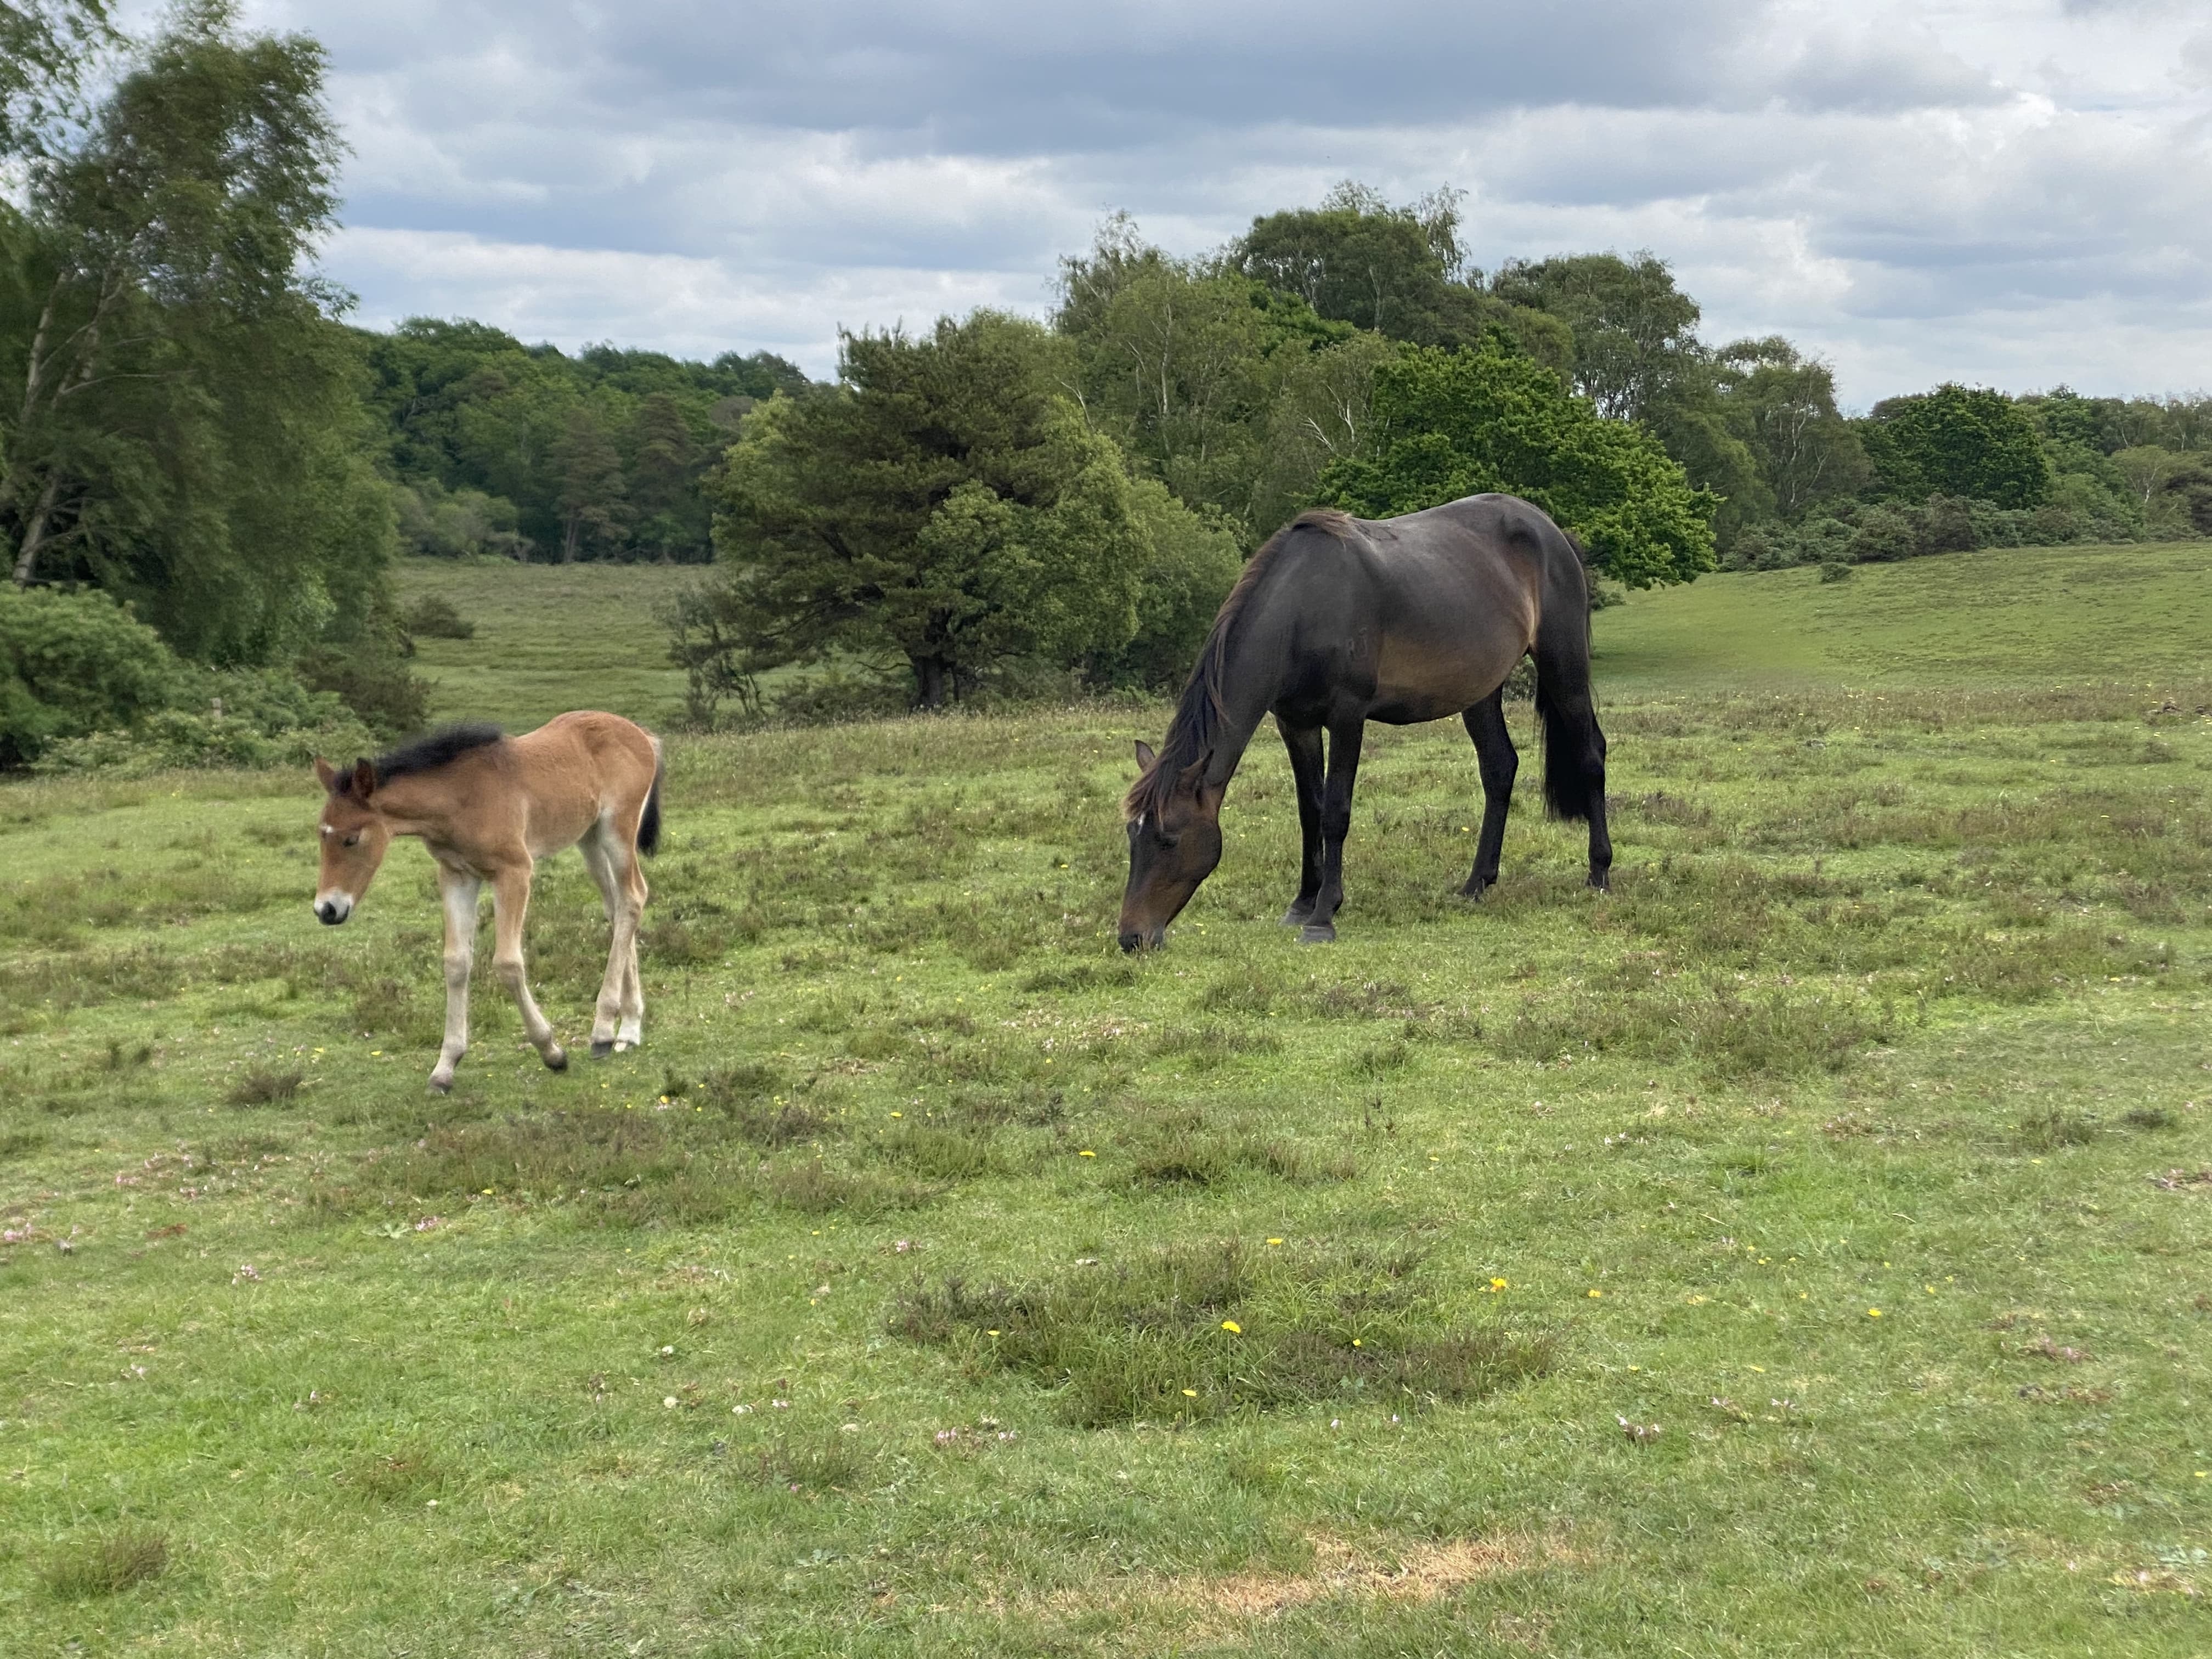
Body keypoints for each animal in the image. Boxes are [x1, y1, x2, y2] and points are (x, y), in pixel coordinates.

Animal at [311, 711, 663, 1093]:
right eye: (321, 834)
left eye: (351, 839)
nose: (326, 910)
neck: (459, 798)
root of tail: (642, 735)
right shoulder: (456, 876)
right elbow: (455, 963)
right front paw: (445, 1067)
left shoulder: (514, 872)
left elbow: (507, 964)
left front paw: (552, 1052)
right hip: (589, 838)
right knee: (616, 909)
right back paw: (628, 1029)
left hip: (618, 830)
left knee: (633, 899)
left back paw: (602, 1032)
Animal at [1119, 495, 1610, 952]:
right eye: (1131, 835)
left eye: (1169, 839)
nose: (1132, 938)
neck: (1303, 607)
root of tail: (1551, 531)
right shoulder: (1295, 724)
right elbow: (1310, 812)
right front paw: (1302, 903)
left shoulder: (1347, 717)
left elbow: (1336, 813)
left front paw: (1323, 915)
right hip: (1480, 691)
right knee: (1499, 769)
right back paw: (1476, 884)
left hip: (1563, 666)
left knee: (1591, 755)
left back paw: (1599, 872)